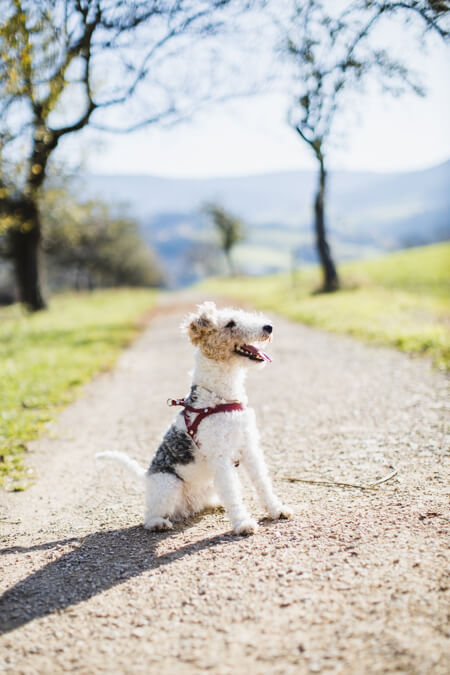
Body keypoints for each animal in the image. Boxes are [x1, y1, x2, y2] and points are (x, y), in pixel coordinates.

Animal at [97, 304, 292, 536]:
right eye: (230, 323)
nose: (268, 327)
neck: (219, 396)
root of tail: (146, 476)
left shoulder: (249, 448)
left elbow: (262, 483)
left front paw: (277, 510)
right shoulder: (220, 457)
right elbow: (233, 494)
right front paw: (243, 523)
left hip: (208, 484)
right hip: (168, 483)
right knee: (150, 515)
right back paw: (158, 523)